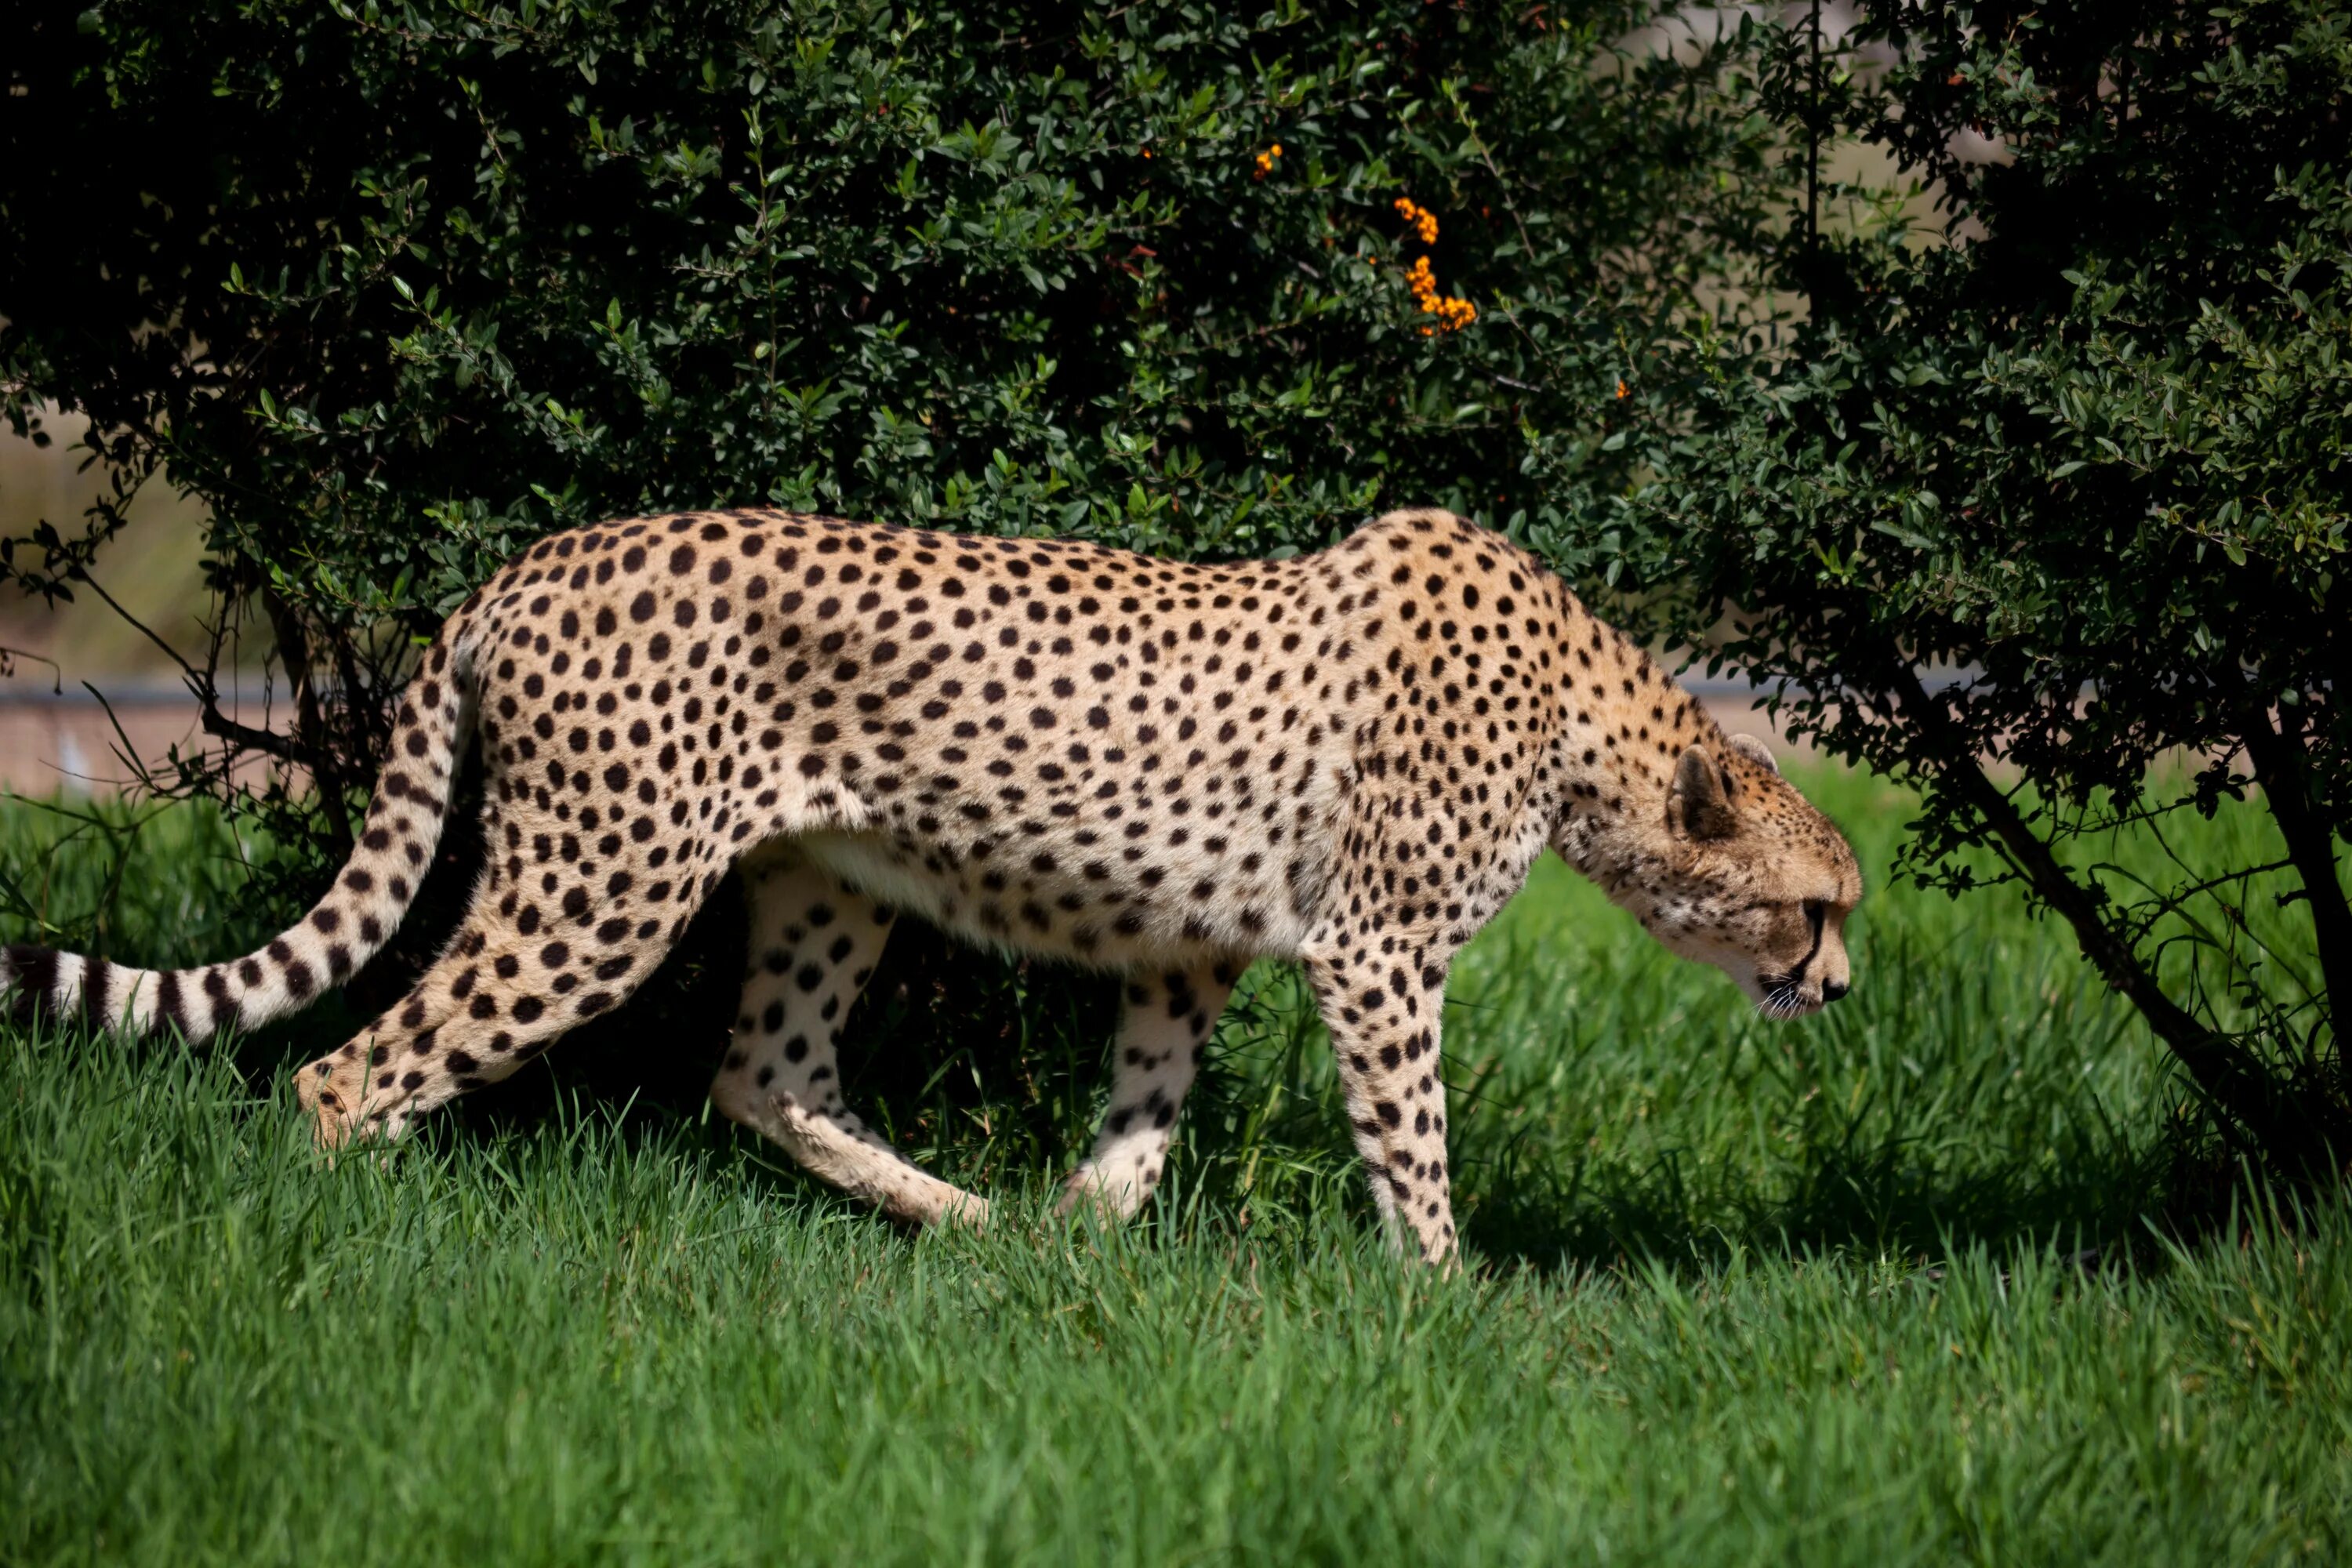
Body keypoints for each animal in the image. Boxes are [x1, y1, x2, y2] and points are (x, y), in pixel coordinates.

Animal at [13, 510, 1853, 1269]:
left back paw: (964, 1222)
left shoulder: (1194, 951)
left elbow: (1144, 1119)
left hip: (827, 881)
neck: (1595, 729)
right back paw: (365, 1230)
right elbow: (1416, 1146)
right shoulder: (1379, 956)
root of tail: (530, 561)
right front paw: (1448, 1303)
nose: (1839, 990)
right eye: (1821, 907)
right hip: (602, 882)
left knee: (764, 1072)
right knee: (351, 1066)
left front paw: (1081, 1244)